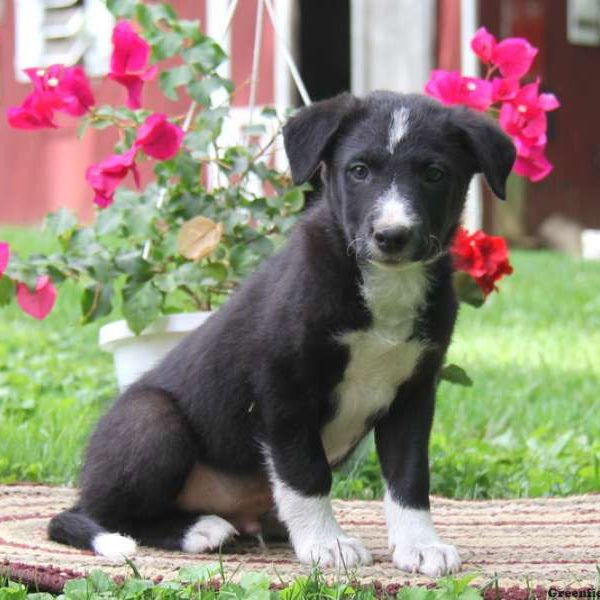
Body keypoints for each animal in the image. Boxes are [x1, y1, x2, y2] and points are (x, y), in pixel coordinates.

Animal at [48, 90, 516, 576]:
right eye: (359, 170)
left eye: (434, 173)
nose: (392, 235)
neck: (382, 287)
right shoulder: (282, 387)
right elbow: (305, 472)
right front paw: (326, 544)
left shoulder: (414, 392)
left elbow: (409, 476)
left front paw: (419, 545)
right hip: (151, 420)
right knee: (105, 515)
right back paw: (199, 530)